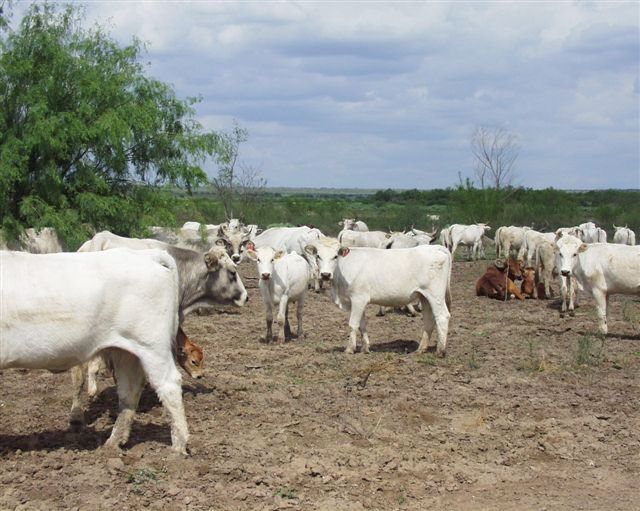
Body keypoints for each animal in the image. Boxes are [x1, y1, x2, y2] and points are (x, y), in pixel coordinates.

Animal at [0, 250, 189, 454]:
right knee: (129, 390)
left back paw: (179, 447)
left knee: (169, 385)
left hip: (152, 345)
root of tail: (145, 254)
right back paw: (113, 443)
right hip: (126, 351)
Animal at [304, 240, 450, 356]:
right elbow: (362, 324)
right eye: (318, 256)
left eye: (335, 256)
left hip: (435, 295)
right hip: (424, 296)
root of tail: (436, 247)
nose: (325, 275)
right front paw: (365, 348)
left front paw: (349, 349)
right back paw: (421, 349)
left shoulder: (358, 298)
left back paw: (440, 351)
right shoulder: (359, 301)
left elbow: (353, 324)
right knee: (429, 319)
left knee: (442, 316)